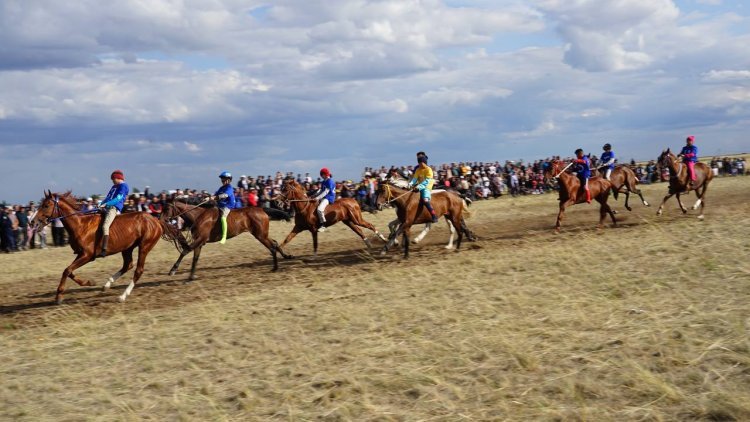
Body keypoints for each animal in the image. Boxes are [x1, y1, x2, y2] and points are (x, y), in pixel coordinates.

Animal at [29, 191, 172, 304]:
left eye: (46, 205)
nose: (32, 222)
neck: (80, 225)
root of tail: (156, 220)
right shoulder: (81, 254)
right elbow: (69, 271)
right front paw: (89, 283)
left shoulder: (87, 256)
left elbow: (67, 270)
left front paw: (59, 296)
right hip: (127, 248)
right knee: (128, 265)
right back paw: (106, 285)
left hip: (144, 247)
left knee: (138, 270)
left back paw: (123, 296)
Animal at [162, 198, 294, 280]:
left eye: (166, 209)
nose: (161, 219)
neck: (198, 216)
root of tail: (261, 209)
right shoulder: (199, 243)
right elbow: (195, 258)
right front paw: (191, 277)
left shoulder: (200, 240)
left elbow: (185, 251)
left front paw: (173, 270)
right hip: (262, 234)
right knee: (275, 243)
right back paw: (286, 257)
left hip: (260, 235)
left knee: (272, 247)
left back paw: (275, 267)